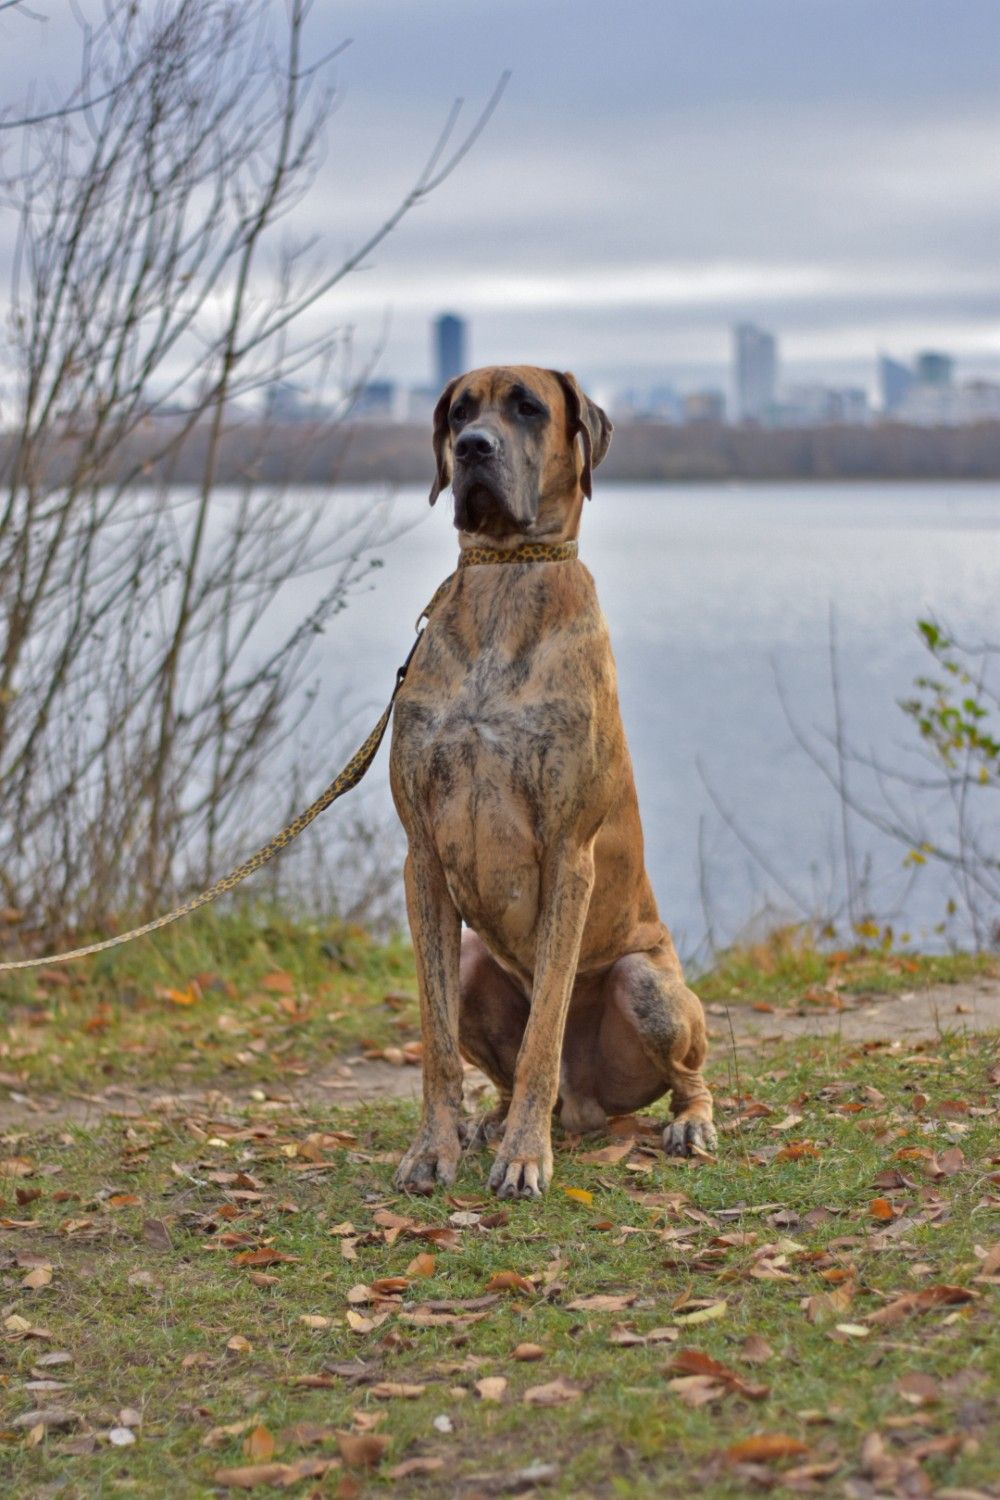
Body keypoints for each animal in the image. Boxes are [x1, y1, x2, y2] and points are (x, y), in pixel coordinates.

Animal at [389, 365, 716, 1198]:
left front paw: (525, 1158)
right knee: (499, 1063)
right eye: (460, 412)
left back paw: (686, 1123)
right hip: (477, 963)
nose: (473, 449)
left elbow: (545, 1031)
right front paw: (433, 1147)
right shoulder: (422, 857)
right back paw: (493, 1122)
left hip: (647, 984)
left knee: (689, 1073)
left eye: (529, 407)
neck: (506, 578)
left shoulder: (569, 853)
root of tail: (587, 1107)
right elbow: (437, 1041)